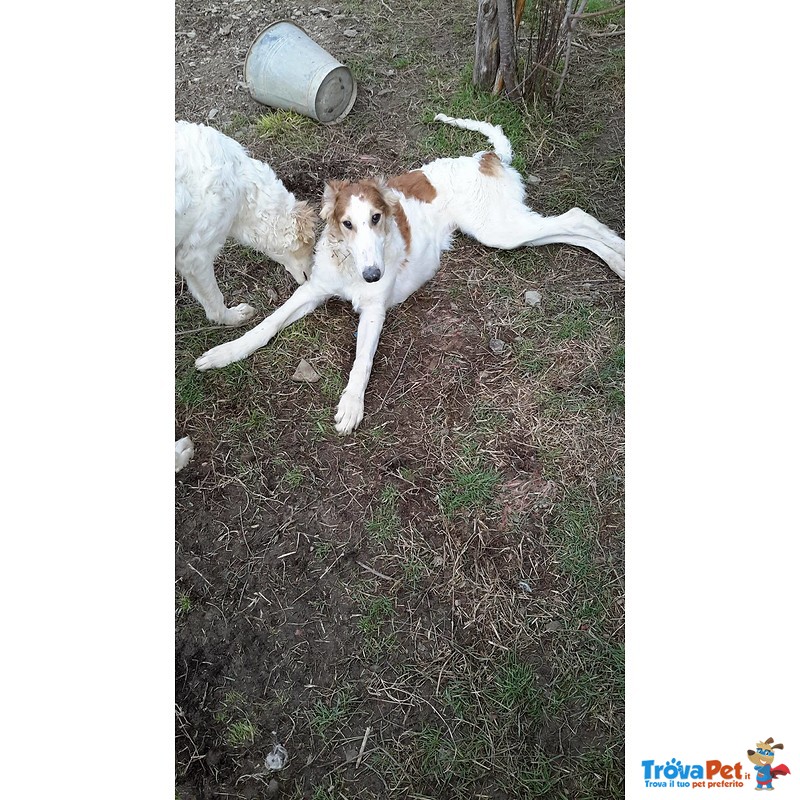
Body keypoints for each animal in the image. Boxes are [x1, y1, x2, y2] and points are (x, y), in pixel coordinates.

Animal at [194, 114, 624, 432]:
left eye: (377, 218)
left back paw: (620, 259)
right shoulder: (312, 290)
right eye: (346, 224)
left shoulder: (374, 309)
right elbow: (267, 325)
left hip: (499, 229)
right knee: (573, 226)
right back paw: (620, 258)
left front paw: (351, 405)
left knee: (577, 217)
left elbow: (362, 360)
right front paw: (224, 353)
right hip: (505, 228)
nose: (372, 274)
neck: (352, 267)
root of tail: (485, 156)